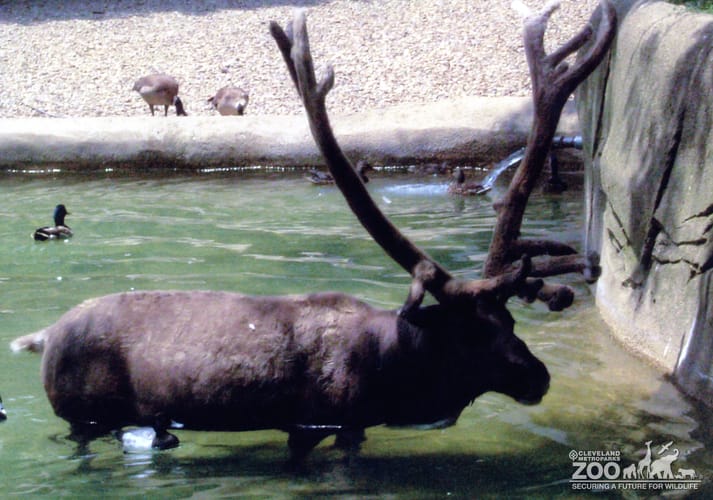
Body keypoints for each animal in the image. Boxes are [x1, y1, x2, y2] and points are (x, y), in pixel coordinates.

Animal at [10, 2, 615, 458]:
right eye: (471, 333)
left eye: (509, 320)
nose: (539, 376)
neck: (396, 371)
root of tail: (42, 336)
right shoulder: (327, 420)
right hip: (81, 414)